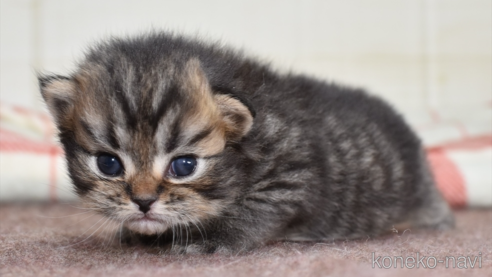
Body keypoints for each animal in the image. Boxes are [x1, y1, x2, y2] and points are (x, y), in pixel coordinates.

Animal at [38, 31, 454, 252]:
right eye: (108, 164)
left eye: (184, 165)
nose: (142, 203)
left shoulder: (294, 174)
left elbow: (254, 210)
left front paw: (214, 238)